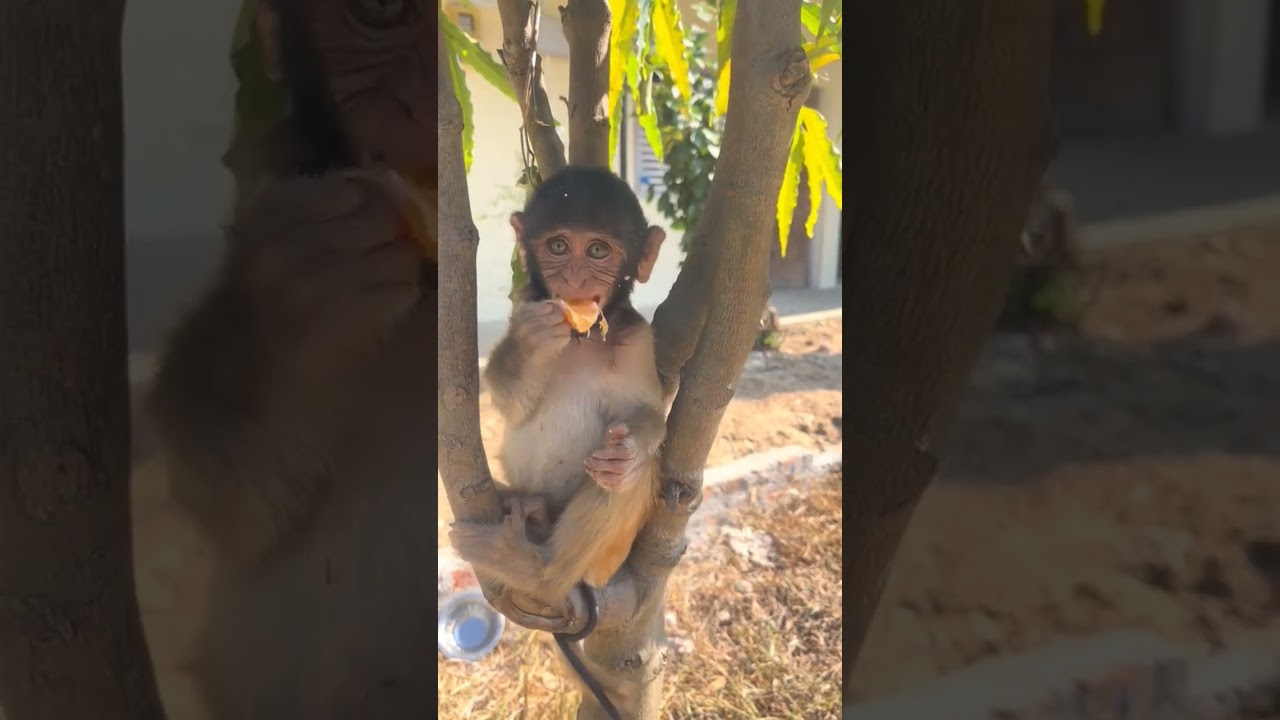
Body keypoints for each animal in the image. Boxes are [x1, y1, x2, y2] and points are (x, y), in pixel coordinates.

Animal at [448, 166, 669, 609]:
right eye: (558, 246)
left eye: (598, 250)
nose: (574, 278)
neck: (583, 337)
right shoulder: (524, 300)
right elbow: (510, 404)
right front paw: (527, 345)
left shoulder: (639, 340)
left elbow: (648, 413)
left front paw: (628, 452)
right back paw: (524, 509)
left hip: (604, 560)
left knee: (626, 479)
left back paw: (537, 572)